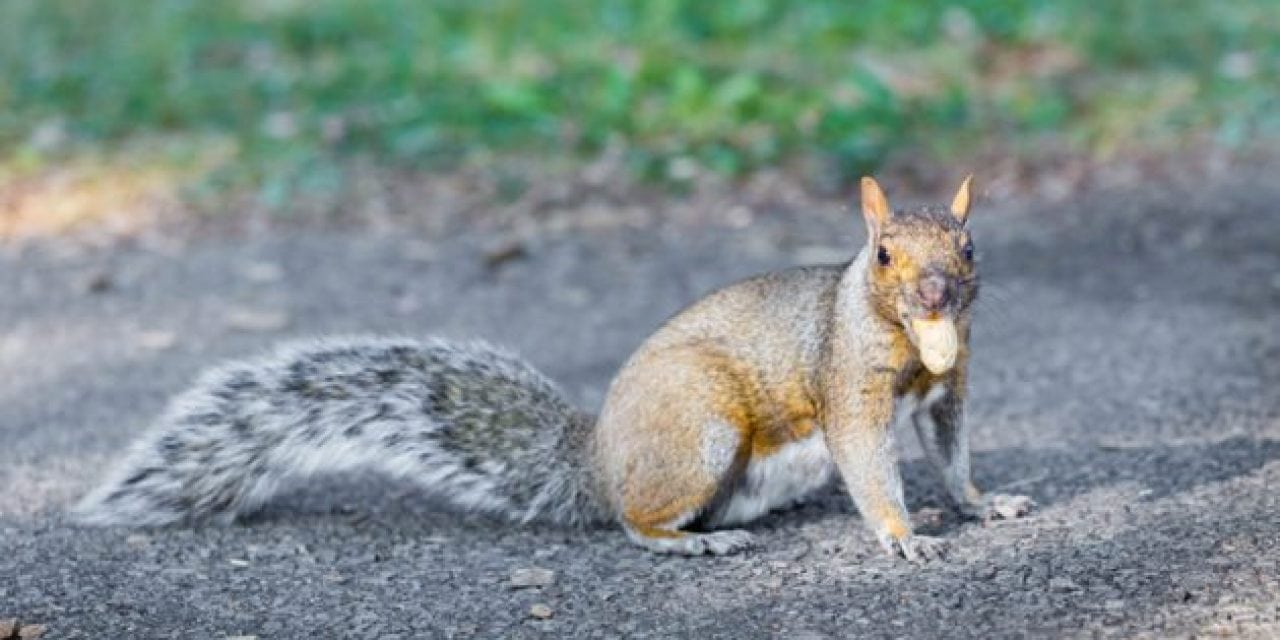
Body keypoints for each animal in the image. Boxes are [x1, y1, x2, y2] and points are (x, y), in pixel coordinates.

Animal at [70, 177, 1034, 558]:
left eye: (969, 247)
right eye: (883, 255)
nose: (939, 293)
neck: (914, 343)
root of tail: (599, 461)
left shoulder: (947, 394)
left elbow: (951, 455)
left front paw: (983, 505)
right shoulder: (848, 387)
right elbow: (869, 461)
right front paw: (902, 535)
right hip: (701, 427)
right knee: (637, 523)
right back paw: (693, 540)